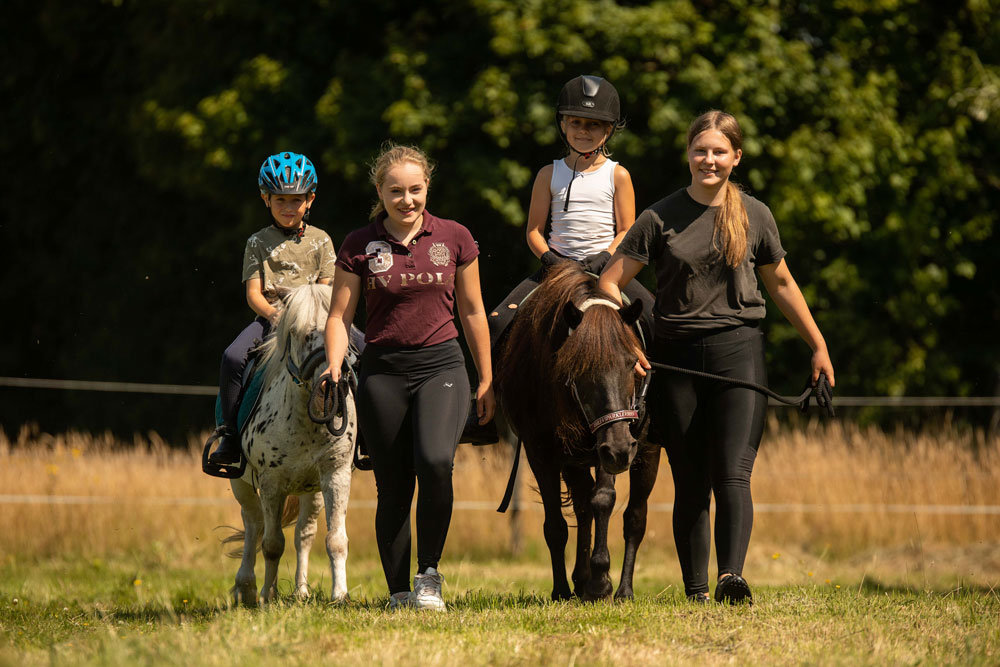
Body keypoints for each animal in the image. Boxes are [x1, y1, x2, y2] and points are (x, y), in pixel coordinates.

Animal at [223, 284, 356, 608]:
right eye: (296, 332)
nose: (328, 385)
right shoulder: (272, 483)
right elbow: (272, 544)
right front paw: (268, 596)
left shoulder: (335, 476)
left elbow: (335, 539)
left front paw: (340, 596)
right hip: (241, 483)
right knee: (253, 525)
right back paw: (246, 588)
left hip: (313, 490)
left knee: (303, 534)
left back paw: (301, 591)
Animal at [494, 260, 664, 600]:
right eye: (578, 368)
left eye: (633, 363)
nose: (622, 451)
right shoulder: (541, 451)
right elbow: (556, 525)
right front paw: (563, 589)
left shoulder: (609, 444)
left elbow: (604, 500)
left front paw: (602, 582)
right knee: (583, 509)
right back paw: (581, 581)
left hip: (645, 453)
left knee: (634, 518)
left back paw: (623, 590)